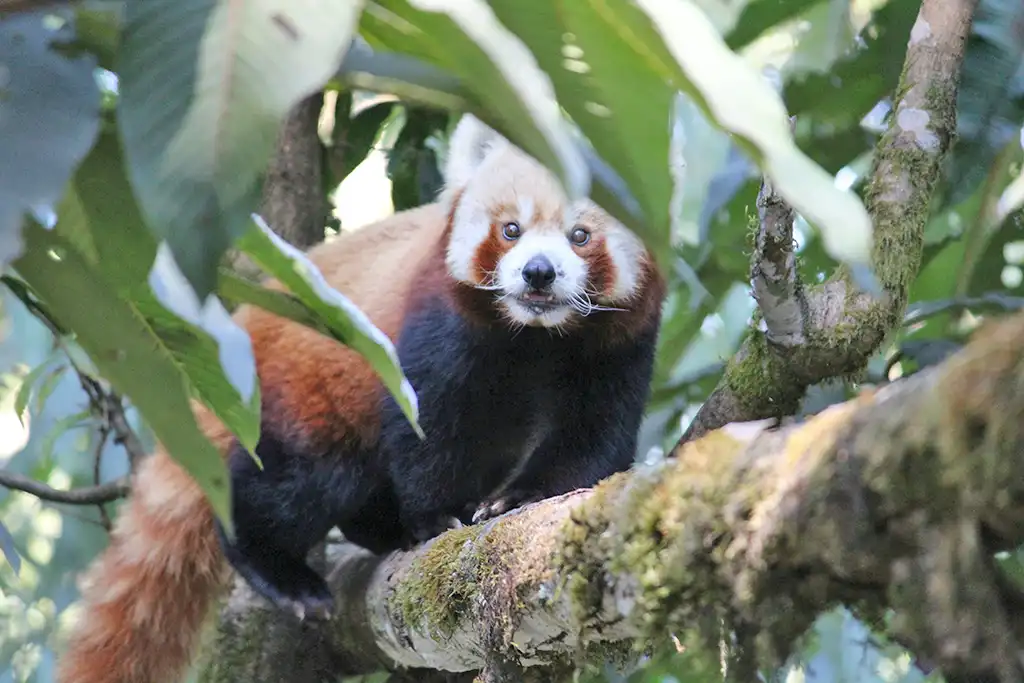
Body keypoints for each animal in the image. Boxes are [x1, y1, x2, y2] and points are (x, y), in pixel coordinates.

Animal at [54, 114, 663, 679]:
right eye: (511, 229)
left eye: (580, 236)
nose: (539, 273)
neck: (535, 338)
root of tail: (242, 327)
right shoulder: (439, 327)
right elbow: (429, 424)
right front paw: (436, 516)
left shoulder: (617, 347)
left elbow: (591, 440)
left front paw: (517, 498)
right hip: (303, 394)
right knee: (300, 481)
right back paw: (279, 566)